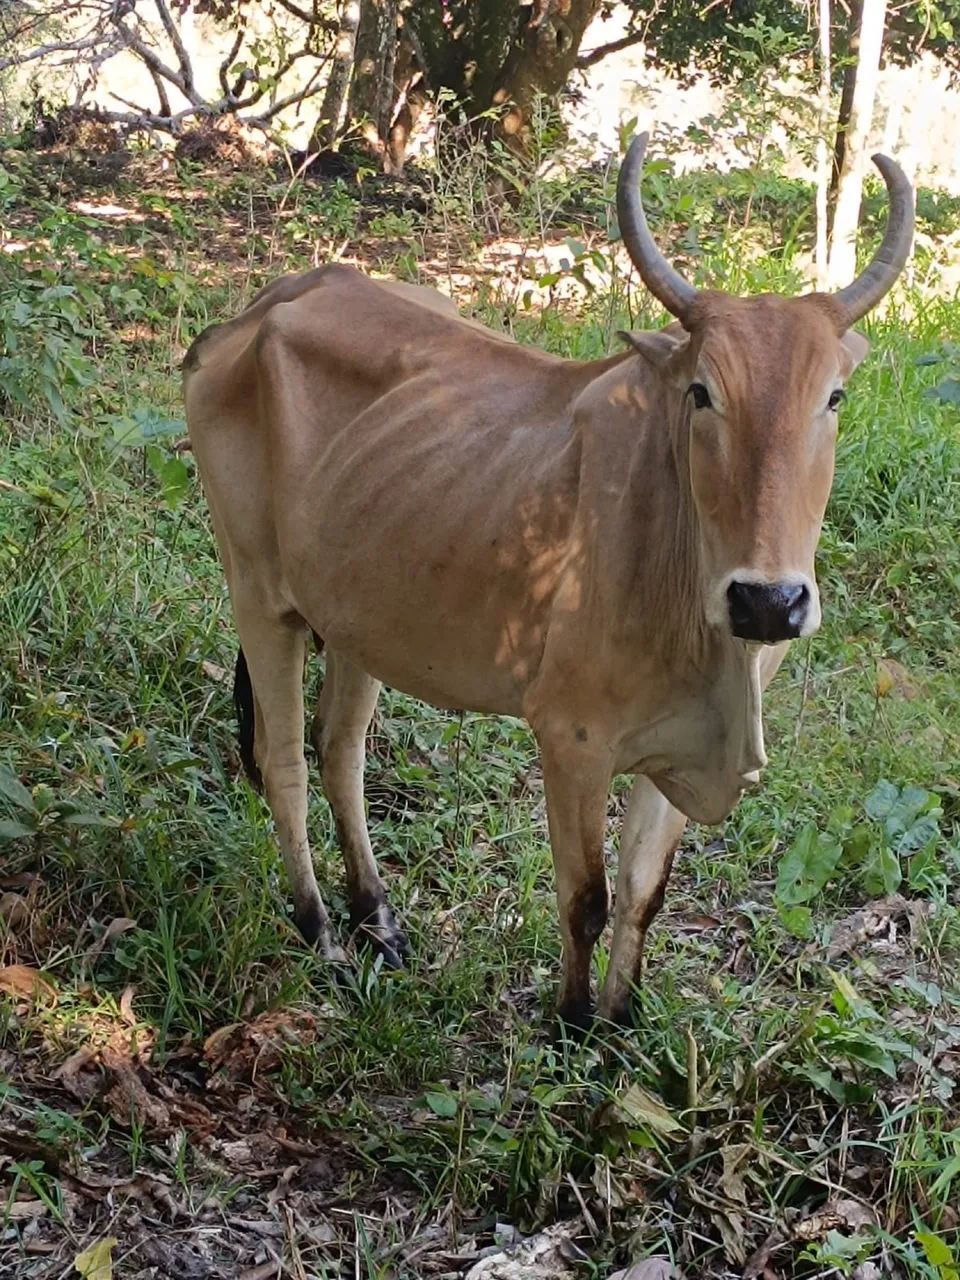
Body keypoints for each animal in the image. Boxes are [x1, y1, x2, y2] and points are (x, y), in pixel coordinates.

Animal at [183, 133, 913, 1030]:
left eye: (834, 397)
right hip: (258, 591)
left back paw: (376, 917)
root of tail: (262, 309)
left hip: (357, 615)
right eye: (702, 393)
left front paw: (622, 1022)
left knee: (339, 749)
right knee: (283, 758)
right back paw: (320, 930)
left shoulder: (672, 754)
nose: (768, 601)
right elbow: (585, 900)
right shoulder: (570, 741)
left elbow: (643, 893)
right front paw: (569, 1023)